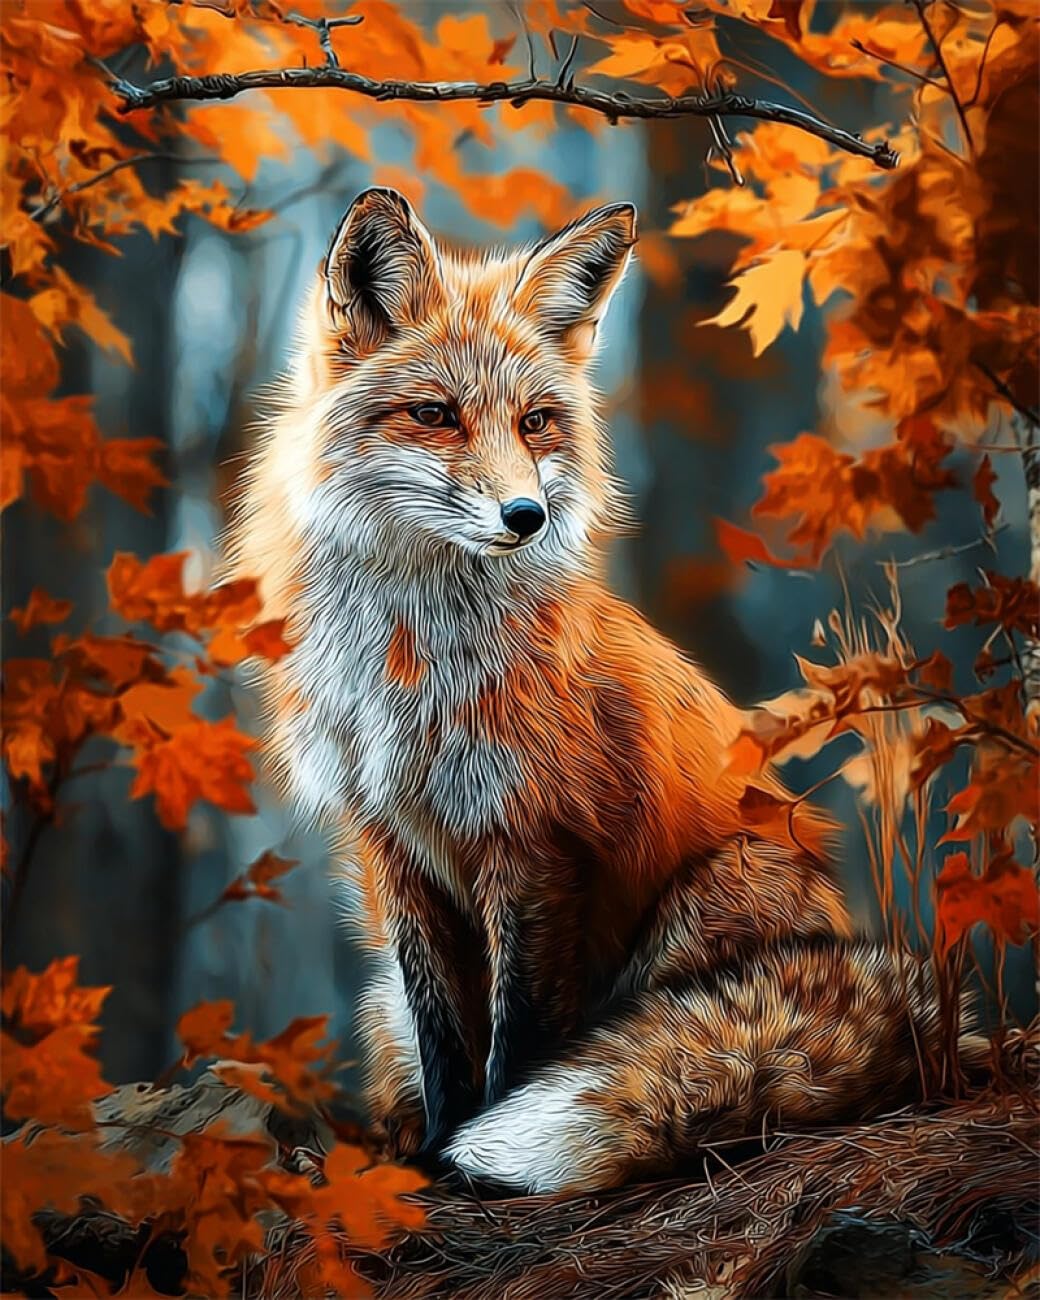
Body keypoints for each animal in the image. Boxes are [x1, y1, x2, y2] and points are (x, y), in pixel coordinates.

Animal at [226, 187, 960, 1195]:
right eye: (435, 414)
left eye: (537, 422)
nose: (525, 516)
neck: (411, 670)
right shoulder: (394, 843)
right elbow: (446, 1038)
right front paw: (432, 1161)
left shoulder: (536, 838)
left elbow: (521, 1041)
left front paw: (470, 1162)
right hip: (385, 996)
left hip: (717, 890)